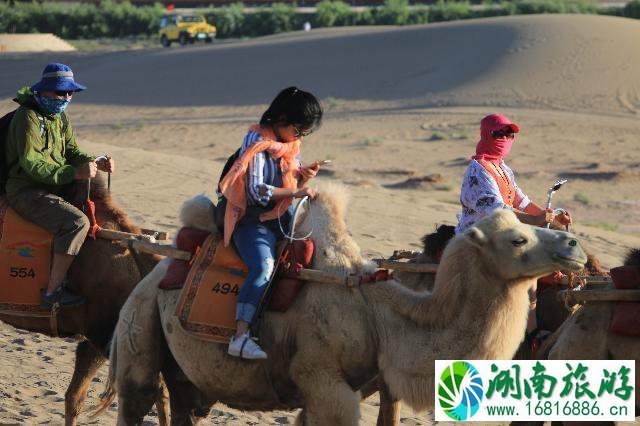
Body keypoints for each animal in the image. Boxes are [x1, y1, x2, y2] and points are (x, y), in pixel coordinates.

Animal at [99, 188, 584, 424]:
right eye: (517, 239)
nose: (573, 244)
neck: (381, 316)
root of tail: (153, 275)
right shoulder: (323, 381)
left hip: (182, 367)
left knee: (184, 405)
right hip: (139, 324)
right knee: (136, 398)